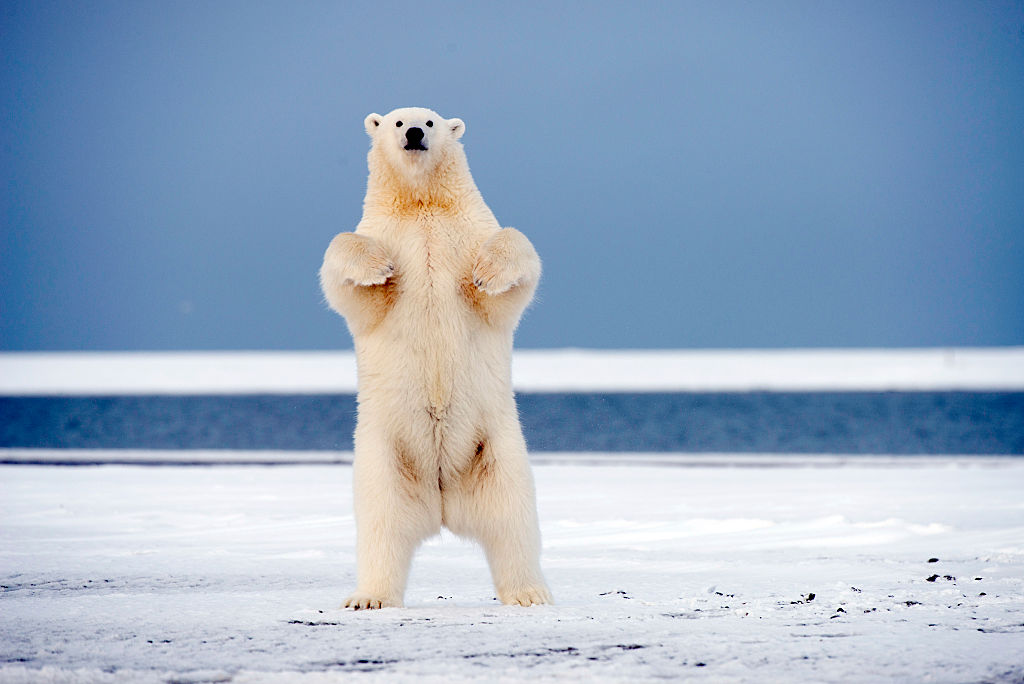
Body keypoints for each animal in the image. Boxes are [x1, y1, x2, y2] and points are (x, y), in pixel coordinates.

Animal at [319, 107, 552, 609]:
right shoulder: (385, 232)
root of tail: (443, 503)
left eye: (430, 121)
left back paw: (528, 592)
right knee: (382, 524)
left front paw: (487, 272)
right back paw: (369, 597)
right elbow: (349, 276)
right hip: (384, 454)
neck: (423, 205)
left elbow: (509, 271)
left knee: (512, 519)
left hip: (497, 448)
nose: (412, 133)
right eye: (395, 121)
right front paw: (378, 266)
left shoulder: (468, 231)